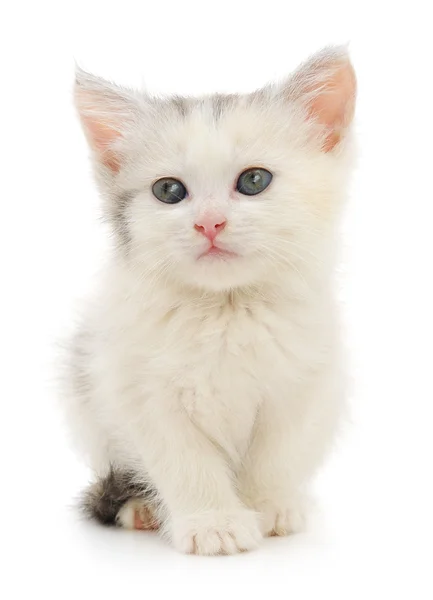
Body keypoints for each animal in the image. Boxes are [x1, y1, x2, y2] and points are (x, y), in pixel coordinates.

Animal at [64, 48, 354, 556]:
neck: (225, 310)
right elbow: (184, 460)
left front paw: (267, 507)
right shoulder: (138, 388)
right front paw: (213, 522)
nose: (209, 223)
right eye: (169, 191)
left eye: (254, 180)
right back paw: (142, 509)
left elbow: (277, 452)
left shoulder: (304, 381)